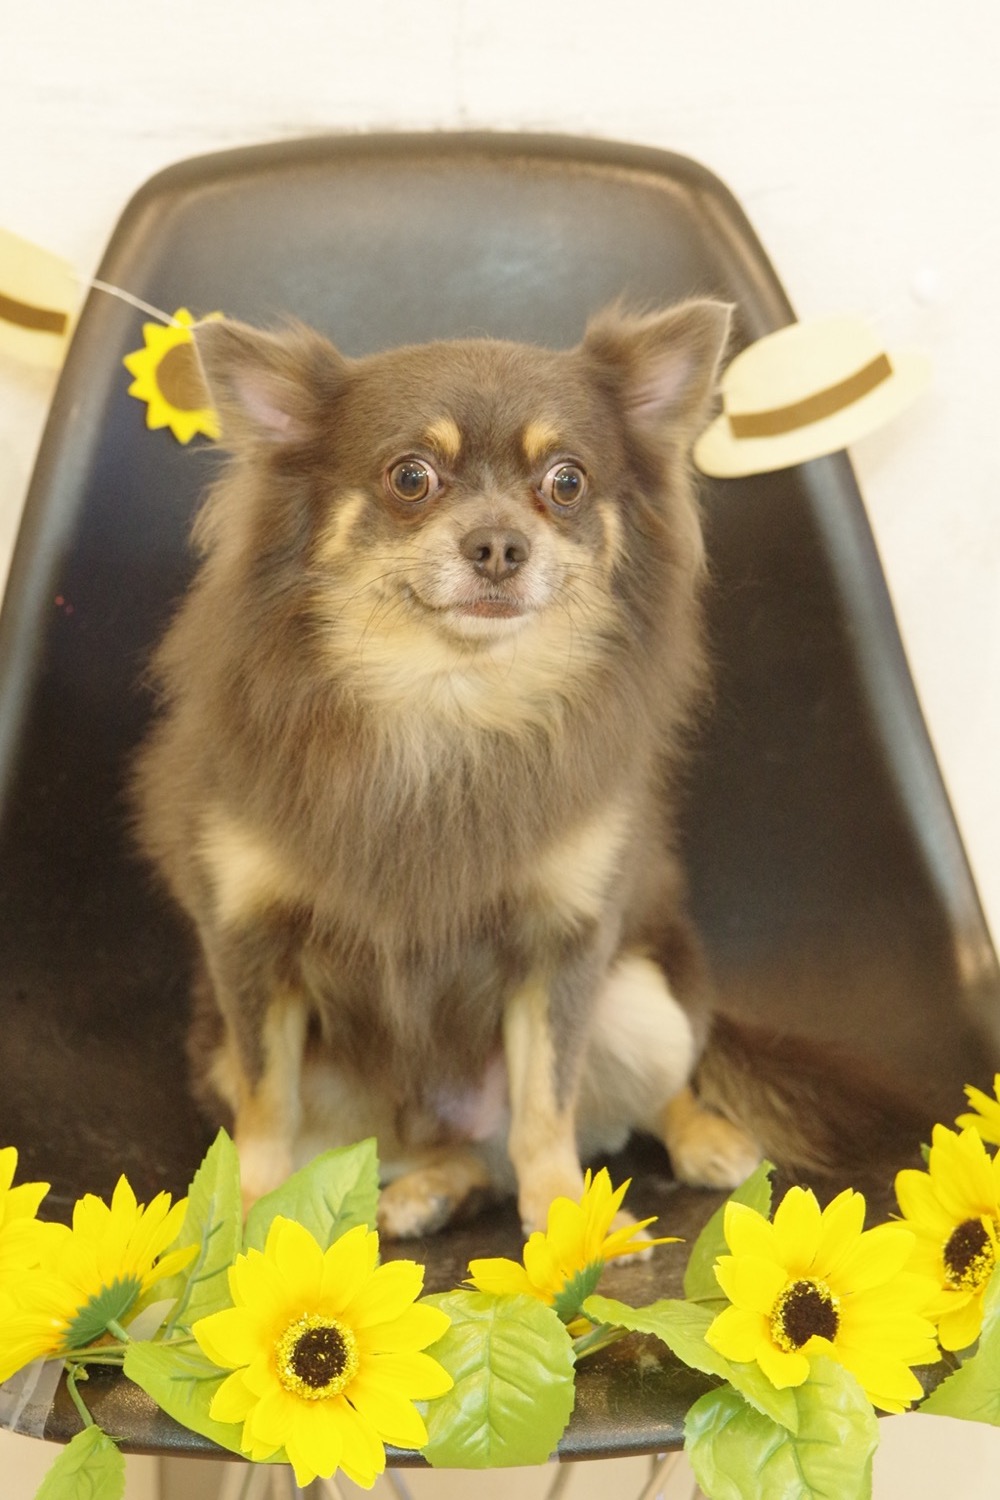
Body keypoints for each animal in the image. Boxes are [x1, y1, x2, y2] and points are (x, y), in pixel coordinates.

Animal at [133, 302, 915, 1238]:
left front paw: (571, 1229)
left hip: (644, 1003)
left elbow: (548, 1099)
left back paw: (703, 1139)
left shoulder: (562, 944)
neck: (451, 702)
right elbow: (267, 1106)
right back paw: (428, 1191)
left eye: (567, 482)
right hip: (242, 1059)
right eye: (410, 477)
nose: (500, 543)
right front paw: (246, 1218)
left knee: (635, 1101)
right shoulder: (247, 947)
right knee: (449, 1156)